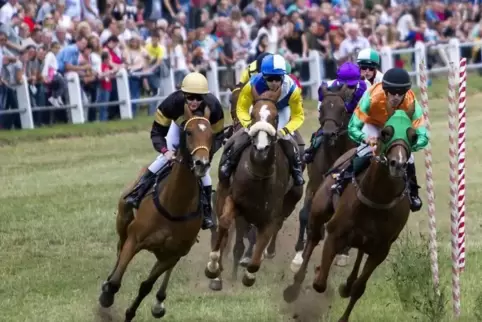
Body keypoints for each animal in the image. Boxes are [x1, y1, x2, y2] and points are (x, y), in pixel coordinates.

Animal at [99, 106, 214, 322]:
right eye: (188, 132)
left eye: (211, 134)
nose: (202, 163)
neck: (175, 205)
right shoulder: (134, 239)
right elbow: (116, 280)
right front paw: (106, 296)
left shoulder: (172, 254)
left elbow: (146, 285)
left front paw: (131, 313)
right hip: (123, 220)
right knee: (119, 248)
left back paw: (159, 302)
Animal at [205, 87, 304, 290]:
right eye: (252, 114)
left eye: (276, 117)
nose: (261, 147)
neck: (258, 174)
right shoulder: (235, 203)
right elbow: (225, 224)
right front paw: (214, 267)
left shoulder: (269, 214)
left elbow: (262, 238)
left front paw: (249, 273)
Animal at [284, 109, 416, 320]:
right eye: (385, 133)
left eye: (413, 136)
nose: (398, 163)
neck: (376, 198)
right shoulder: (335, 233)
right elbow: (319, 283)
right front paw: (317, 271)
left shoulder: (381, 250)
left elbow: (359, 288)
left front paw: (346, 295)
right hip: (320, 207)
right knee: (314, 237)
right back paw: (295, 284)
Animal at [290, 83, 354, 272]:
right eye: (321, 109)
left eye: (342, 109)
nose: (328, 133)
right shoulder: (313, 184)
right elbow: (305, 214)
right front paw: (298, 255)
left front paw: (343, 254)